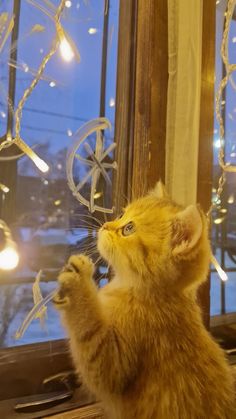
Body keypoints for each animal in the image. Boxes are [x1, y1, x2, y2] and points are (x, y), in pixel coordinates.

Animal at [54, 183, 236, 419]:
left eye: (128, 229)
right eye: (121, 215)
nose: (105, 226)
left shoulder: (111, 366)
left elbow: (90, 335)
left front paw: (78, 284)